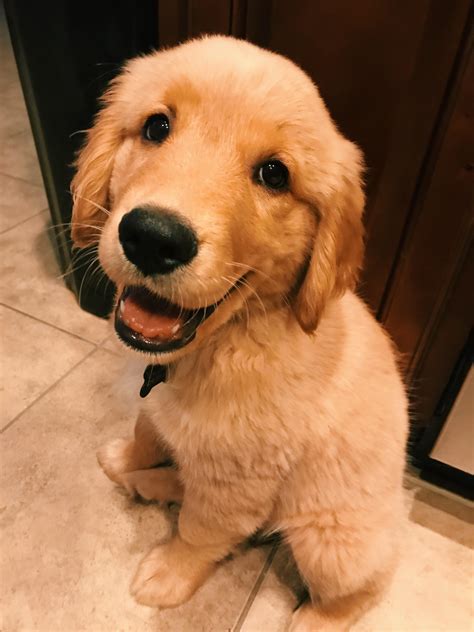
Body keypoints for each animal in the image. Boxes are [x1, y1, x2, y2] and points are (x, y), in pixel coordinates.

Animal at [70, 35, 408, 632]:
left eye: (274, 174)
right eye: (157, 126)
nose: (153, 238)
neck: (225, 340)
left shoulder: (238, 481)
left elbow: (202, 531)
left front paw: (170, 575)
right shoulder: (159, 409)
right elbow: (145, 430)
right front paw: (131, 460)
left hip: (333, 541)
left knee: (365, 583)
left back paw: (316, 619)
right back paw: (151, 483)